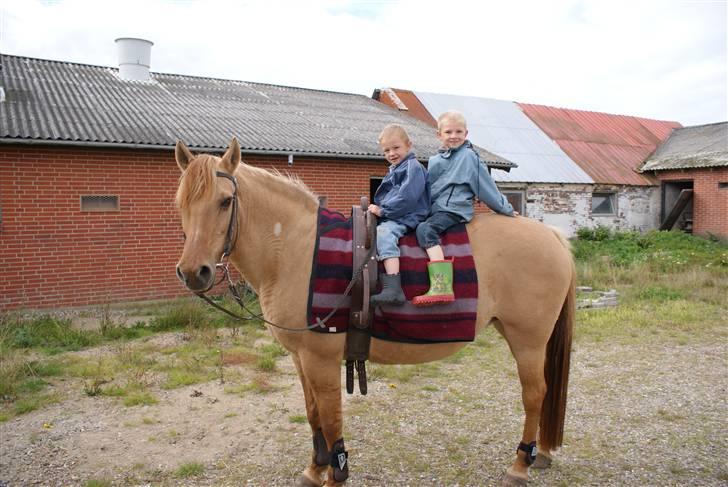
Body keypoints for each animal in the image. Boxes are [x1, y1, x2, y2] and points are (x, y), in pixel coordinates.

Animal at [172, 139, 576, 486]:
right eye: (180, 203)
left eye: (225, 201)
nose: (194, 272)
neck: (296, 250)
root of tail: (552, 237)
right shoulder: (301, 359)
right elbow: (314, 416)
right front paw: (315, 469)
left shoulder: (321, 358)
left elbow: (331, 421)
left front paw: (335, 474)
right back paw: (539, 455)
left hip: (527, 339)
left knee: (535, 394)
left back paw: (521, 464)